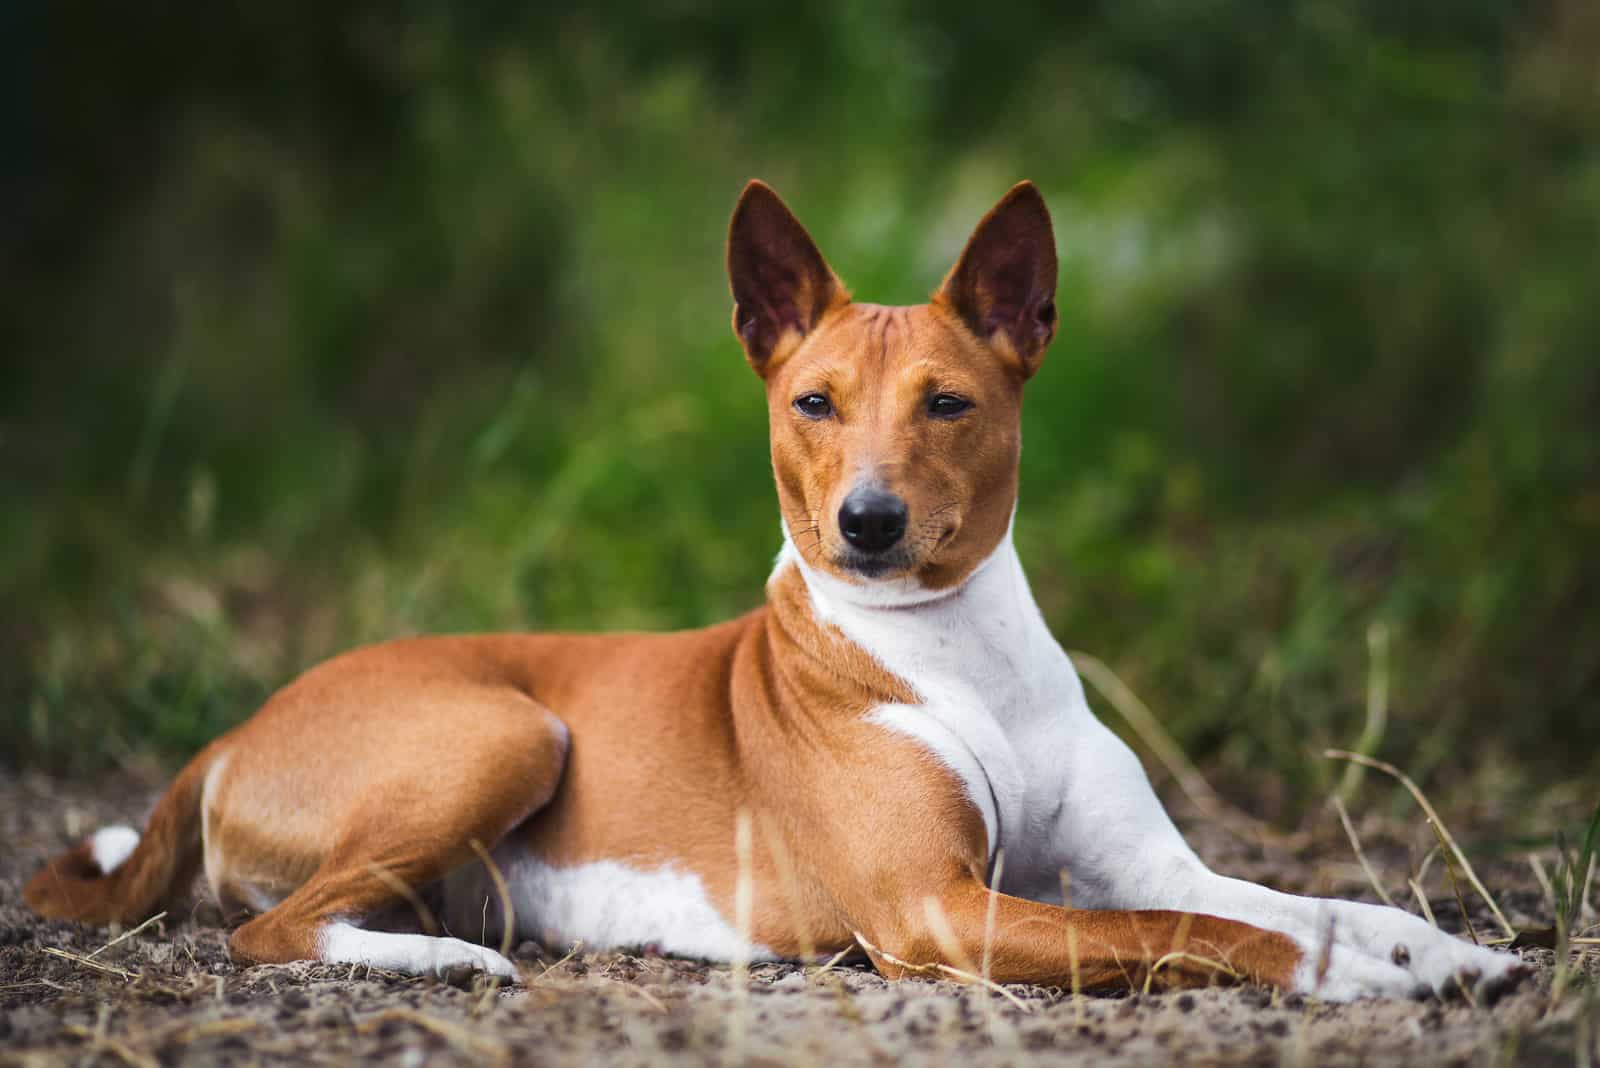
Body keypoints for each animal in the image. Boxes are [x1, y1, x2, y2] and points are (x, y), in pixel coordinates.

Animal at [28, 183, 1523, 1004]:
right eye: (813, 402)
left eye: (948, 403)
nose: (866, 522)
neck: (957, 658)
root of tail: (240, 728)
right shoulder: (936, 911)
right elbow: (1194, 931)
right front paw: (1353, 982)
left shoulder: (1139, 860)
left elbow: (1286, 899)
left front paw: (1436, 952)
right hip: (506, 730)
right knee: (270, 929)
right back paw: (454, 970)